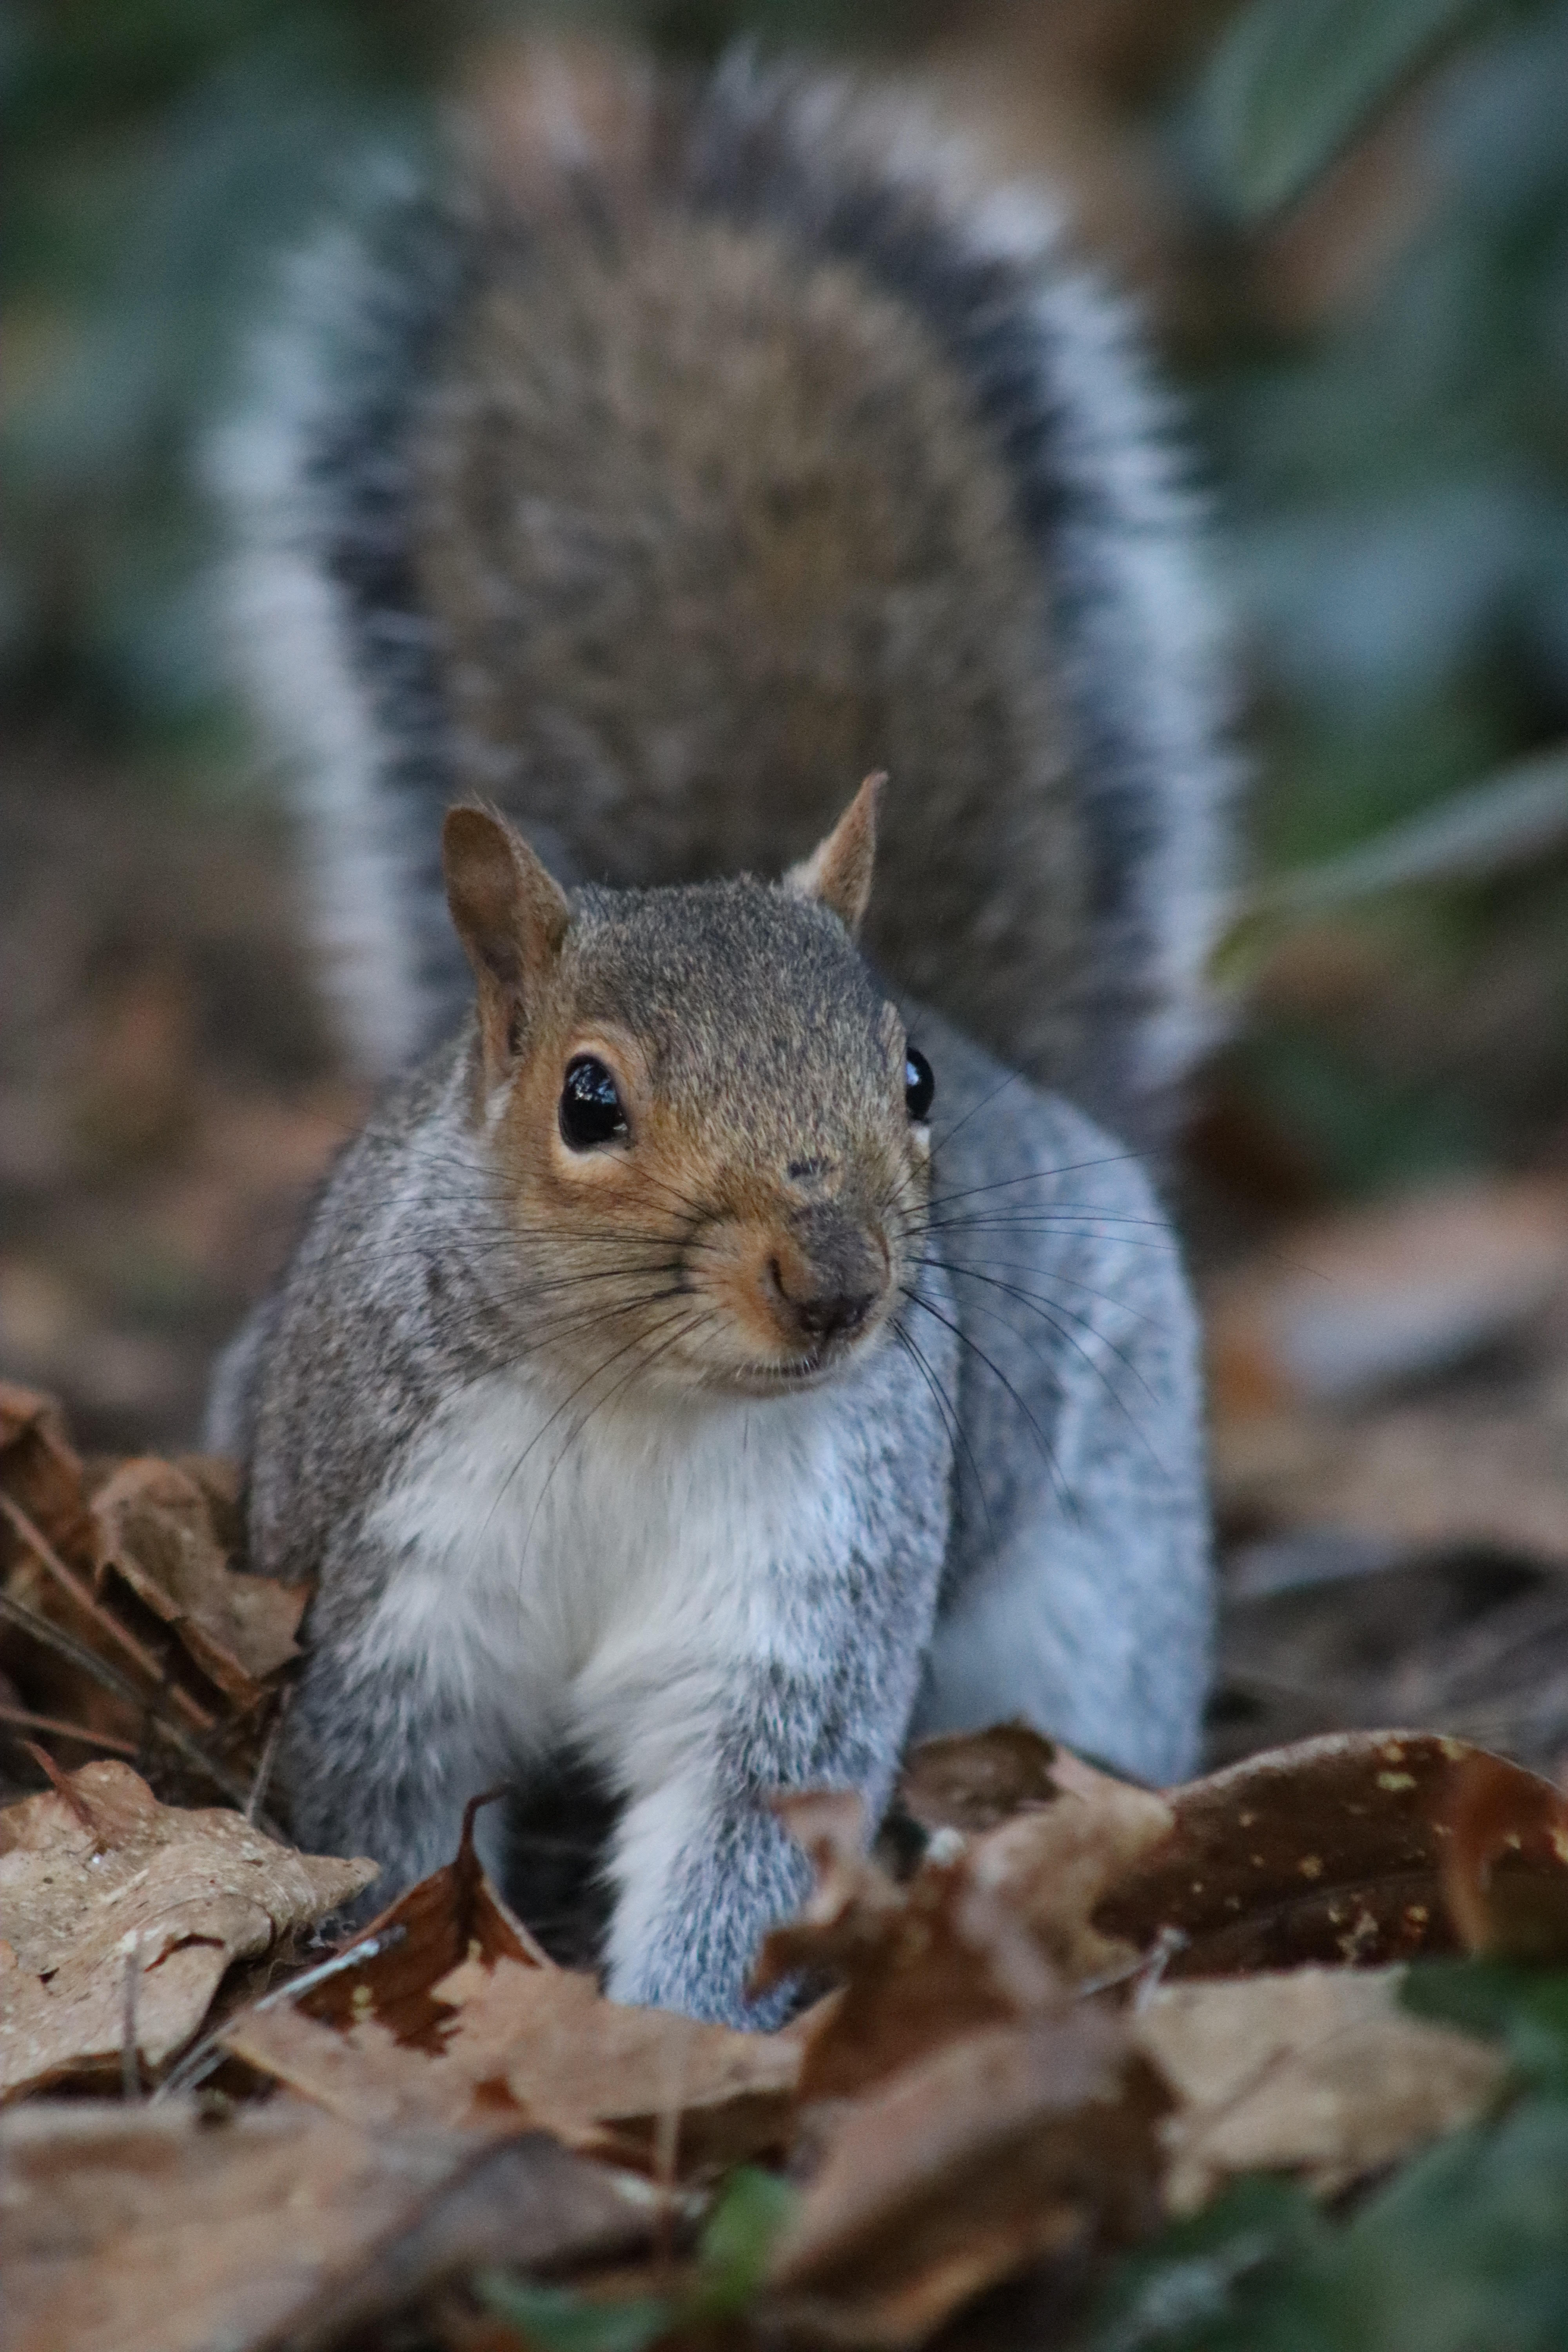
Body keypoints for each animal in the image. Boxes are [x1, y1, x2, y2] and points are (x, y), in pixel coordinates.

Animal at [206, 48, 1229, 2023]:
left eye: (905, 1079)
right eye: (587, 1099)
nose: (835, 1285)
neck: (635, 1398)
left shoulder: (796, 1618)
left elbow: (746, 1842)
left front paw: (672, 2049)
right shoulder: (386, 1601)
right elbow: (371, 1825)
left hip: (1097, 1565)